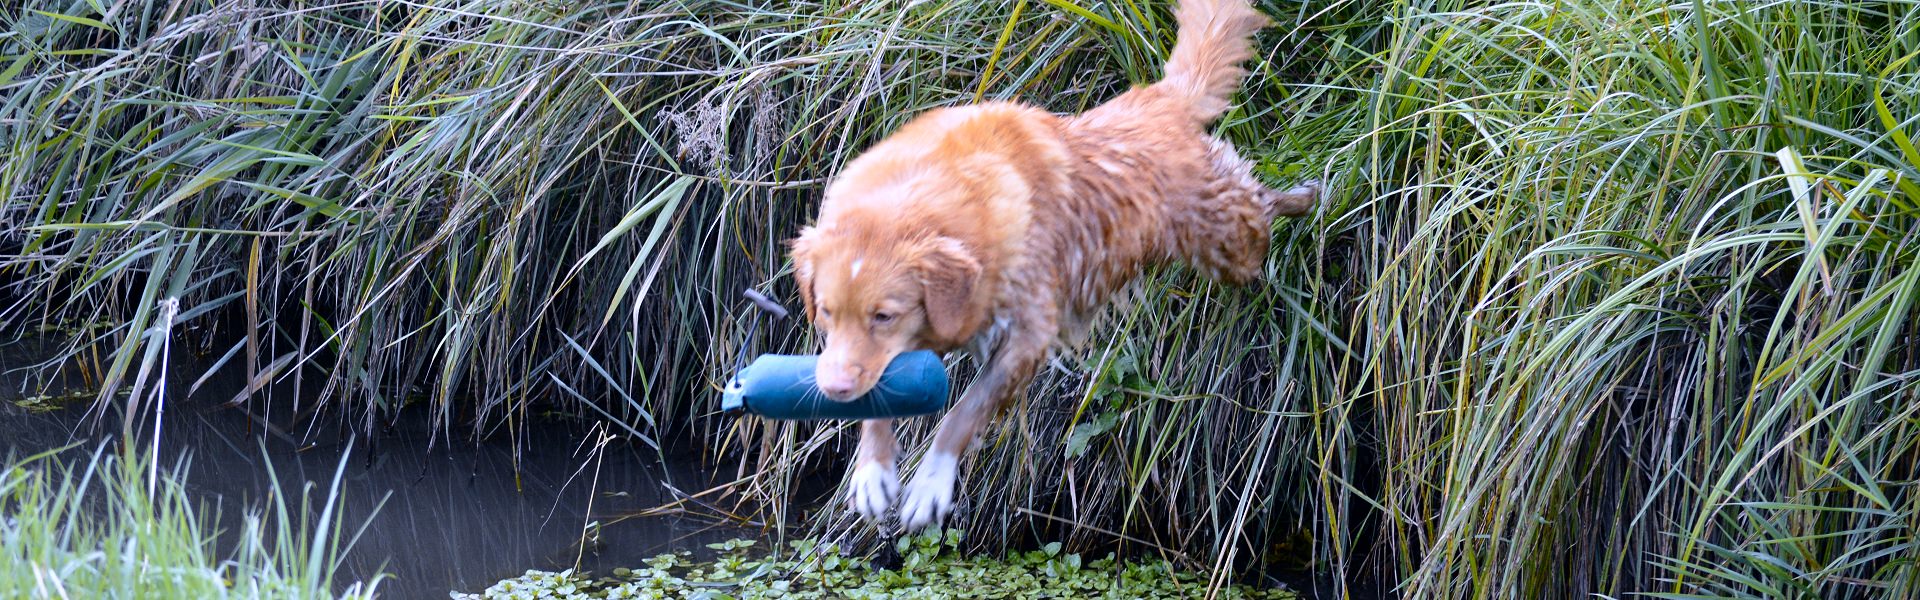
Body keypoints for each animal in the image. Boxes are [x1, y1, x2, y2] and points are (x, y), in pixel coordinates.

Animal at [787, 0, 1313, 530]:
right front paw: (872, 470)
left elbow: (964, 411)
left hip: (1230, 243)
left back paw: (1310, 195)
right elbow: (881, 394)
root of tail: (1159, 98)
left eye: (884, 316)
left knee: (1261, 201)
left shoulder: (1027, 335)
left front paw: (932, 482)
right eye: (826, 313)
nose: (832, 390)